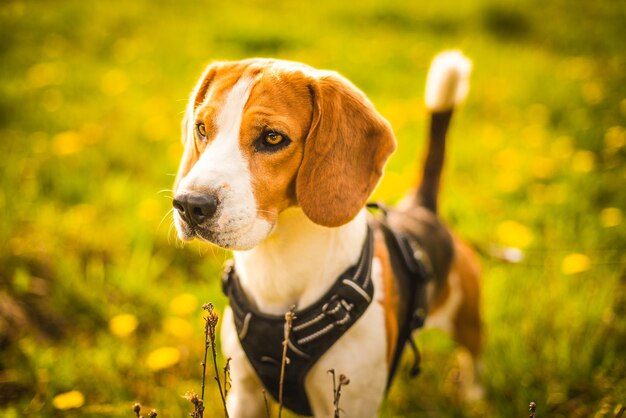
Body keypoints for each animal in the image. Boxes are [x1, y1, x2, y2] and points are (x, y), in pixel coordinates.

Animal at [173, 53, 480, 418]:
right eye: (202, 128)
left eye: (273, 138)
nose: (189, 204)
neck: (278, 263)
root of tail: (421, 209)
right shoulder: (244, 395)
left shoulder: (350, 403)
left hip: (468, 317)